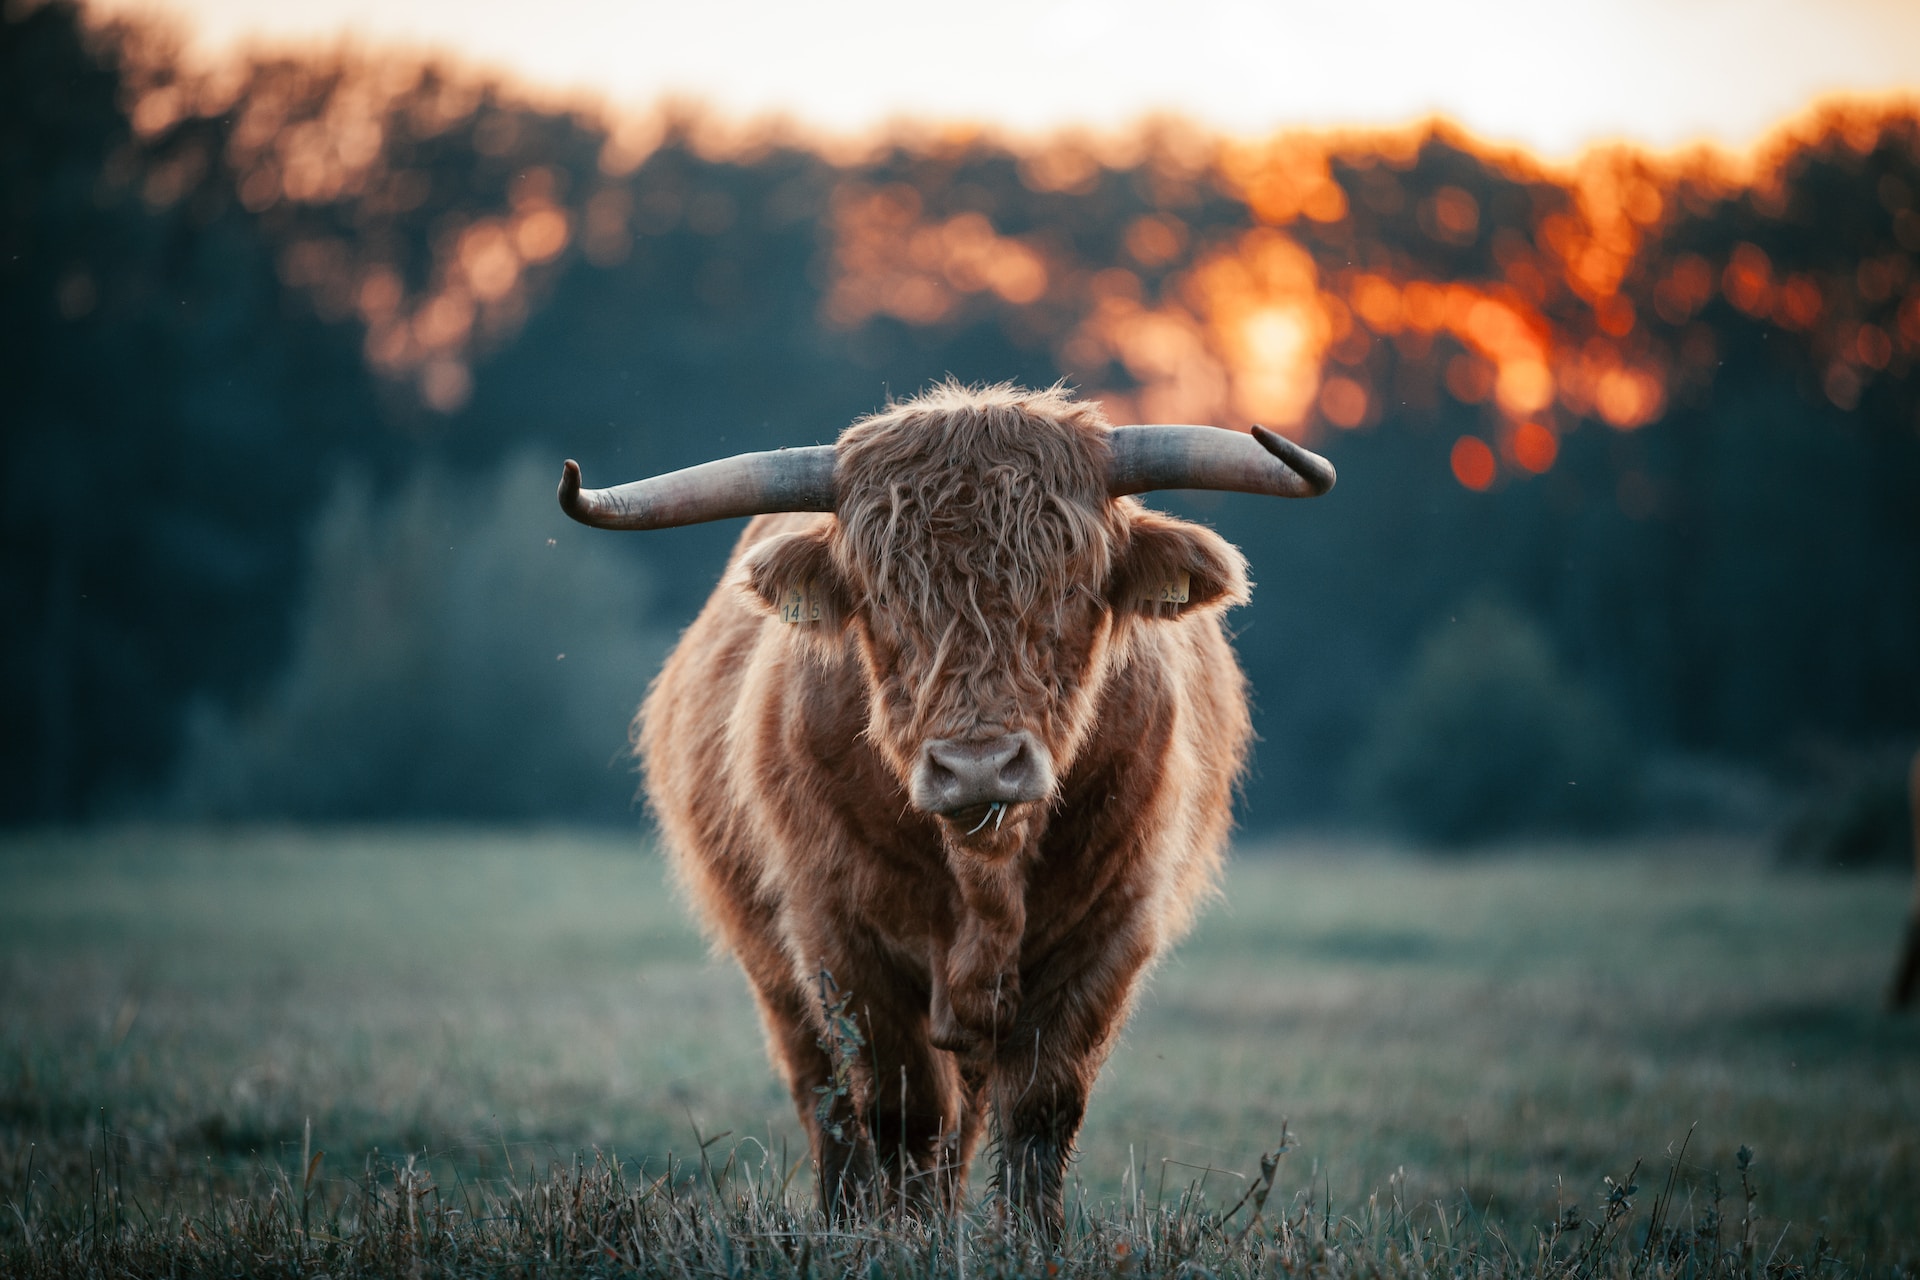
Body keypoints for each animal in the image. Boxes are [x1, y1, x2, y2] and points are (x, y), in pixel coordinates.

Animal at [557, 382, 1334, 1233]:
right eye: (881, 598)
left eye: (1072, 588)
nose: (977, 768)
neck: (984, 874)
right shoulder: (840, 940)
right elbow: (902, 1114)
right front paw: (904, 1238)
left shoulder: (1112, 932)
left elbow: (1041, 1109)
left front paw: (1029, 1240)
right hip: (777, 975)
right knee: (830, 1104)